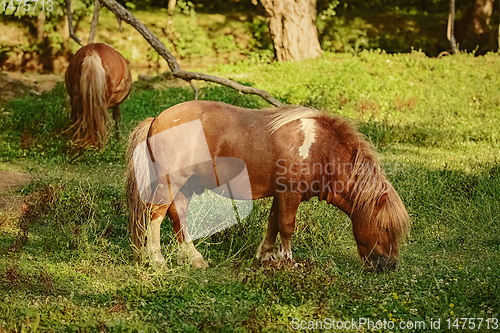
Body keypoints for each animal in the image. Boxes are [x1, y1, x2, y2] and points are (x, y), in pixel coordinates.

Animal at [125, 100, 410, 272]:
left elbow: (273, 224)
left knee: (178, 217)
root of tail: (155, 120)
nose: (390, 266)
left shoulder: (281, 195)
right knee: (156, 217)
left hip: (185, 186)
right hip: (170, 183)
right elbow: (286, 227)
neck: (320, 150)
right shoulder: (290, 195)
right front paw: (288, 262)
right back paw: (158, 261)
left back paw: (191, 258)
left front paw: (265, 256)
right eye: (385, 227)